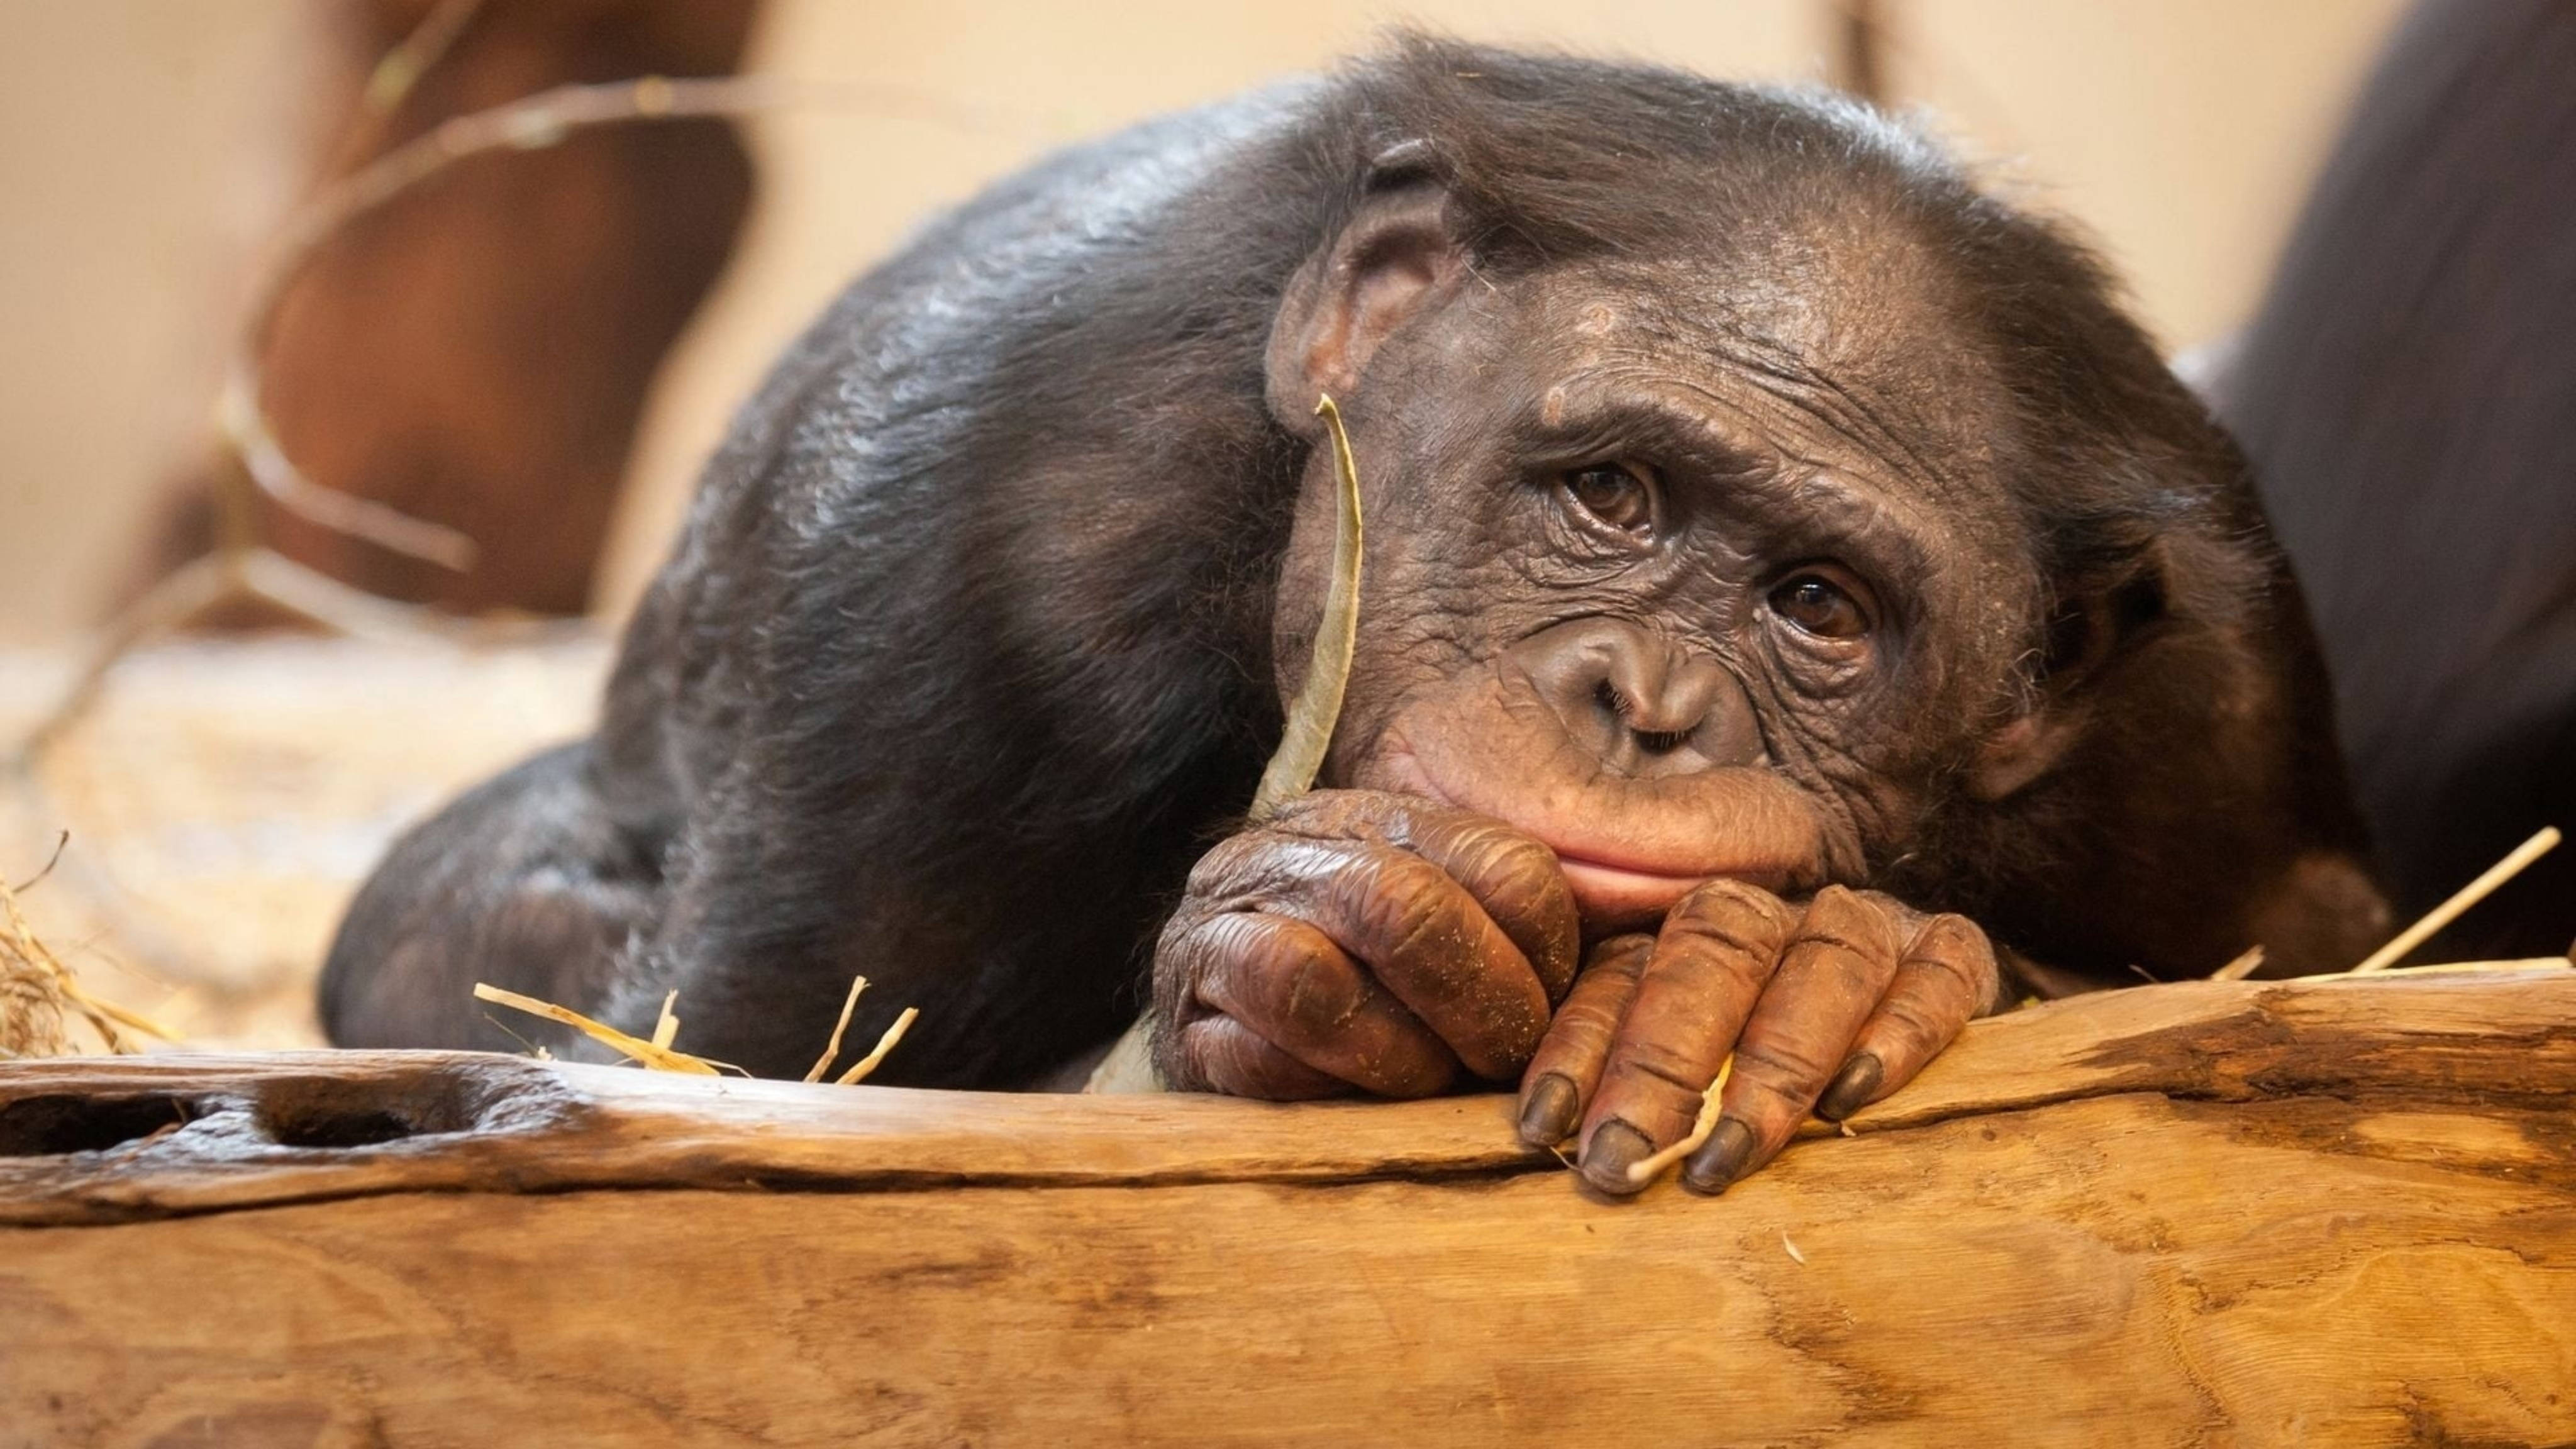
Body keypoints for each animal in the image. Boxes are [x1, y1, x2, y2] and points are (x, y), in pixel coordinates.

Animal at [321, 35, 2390, 1197]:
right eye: (1612, 496)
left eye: (1818, 605)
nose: (1646, 699)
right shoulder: (961, 565)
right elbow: (734, 1072)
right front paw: (1322, 928)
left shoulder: (2212, 722)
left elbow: (2316, 969)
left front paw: (1818, 969)